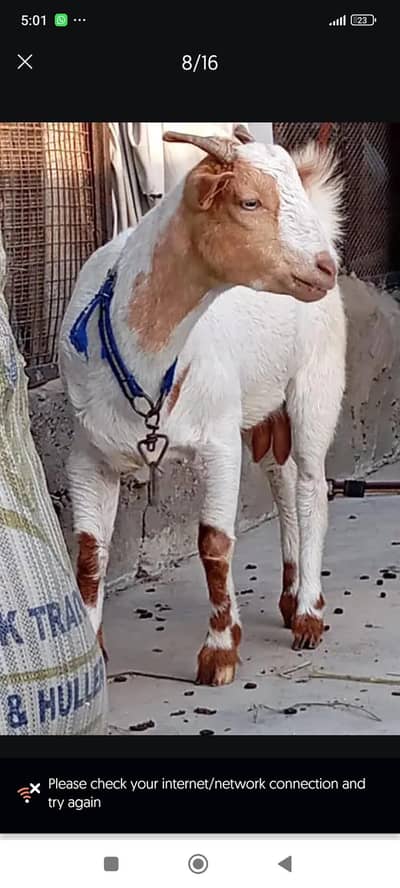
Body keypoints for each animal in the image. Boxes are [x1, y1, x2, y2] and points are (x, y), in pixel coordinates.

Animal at [59, 129, 341, 685]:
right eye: (249, 201)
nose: (325, 266)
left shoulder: (218, 441)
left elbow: (215, 545)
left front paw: (220, 651)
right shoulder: (89, 453)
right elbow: (89, 552)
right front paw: (91, 656)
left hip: (315, 385)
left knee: (311, 487)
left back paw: (308, 613)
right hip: (266, 405)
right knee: (283, 480)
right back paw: (290, 594)